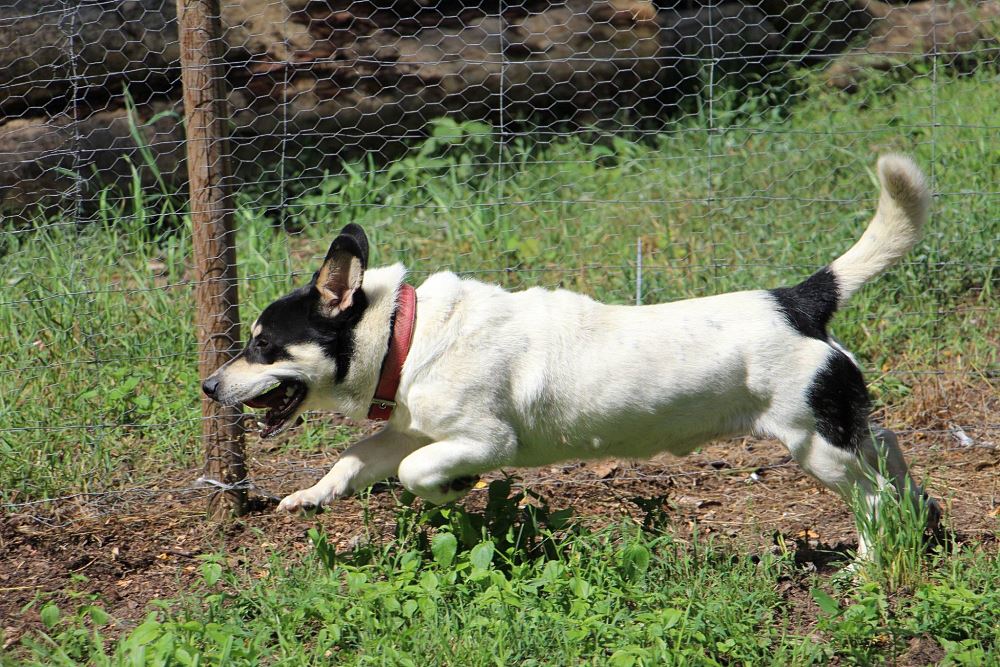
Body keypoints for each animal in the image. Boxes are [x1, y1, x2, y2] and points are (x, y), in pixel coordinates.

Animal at [203, 154, 939, 557]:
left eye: (260, 344)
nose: (208, 386)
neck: (405, 334)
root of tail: (798, 299)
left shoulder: (481, 438)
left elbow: (416, 472)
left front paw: (453, 488)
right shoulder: (408, 429)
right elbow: (356, 460)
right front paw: (311, 494)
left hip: (814, 444)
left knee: (874, 501)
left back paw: (871, 563)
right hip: (838, 426)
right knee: (890, 453)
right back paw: (921, 519)